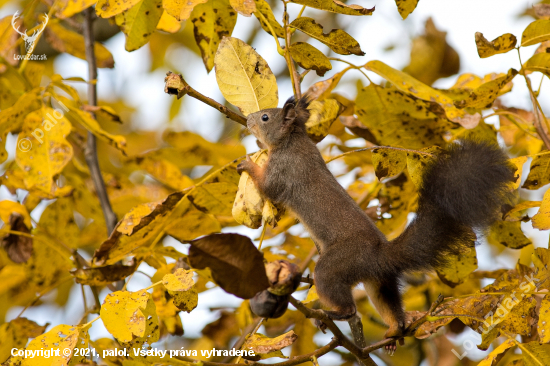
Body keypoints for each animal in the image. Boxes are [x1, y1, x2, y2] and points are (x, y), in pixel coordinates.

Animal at [238, 97, 516, 348]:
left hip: (337, 265)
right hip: (380, 282)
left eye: (265, 117)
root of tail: (380, 255)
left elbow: (267, 188)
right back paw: (395, 331)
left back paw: (333, 314)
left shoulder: (283, 169)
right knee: (390, 305)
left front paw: (248, 163)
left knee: (346, 304)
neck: (292, 140)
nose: (249, 119)